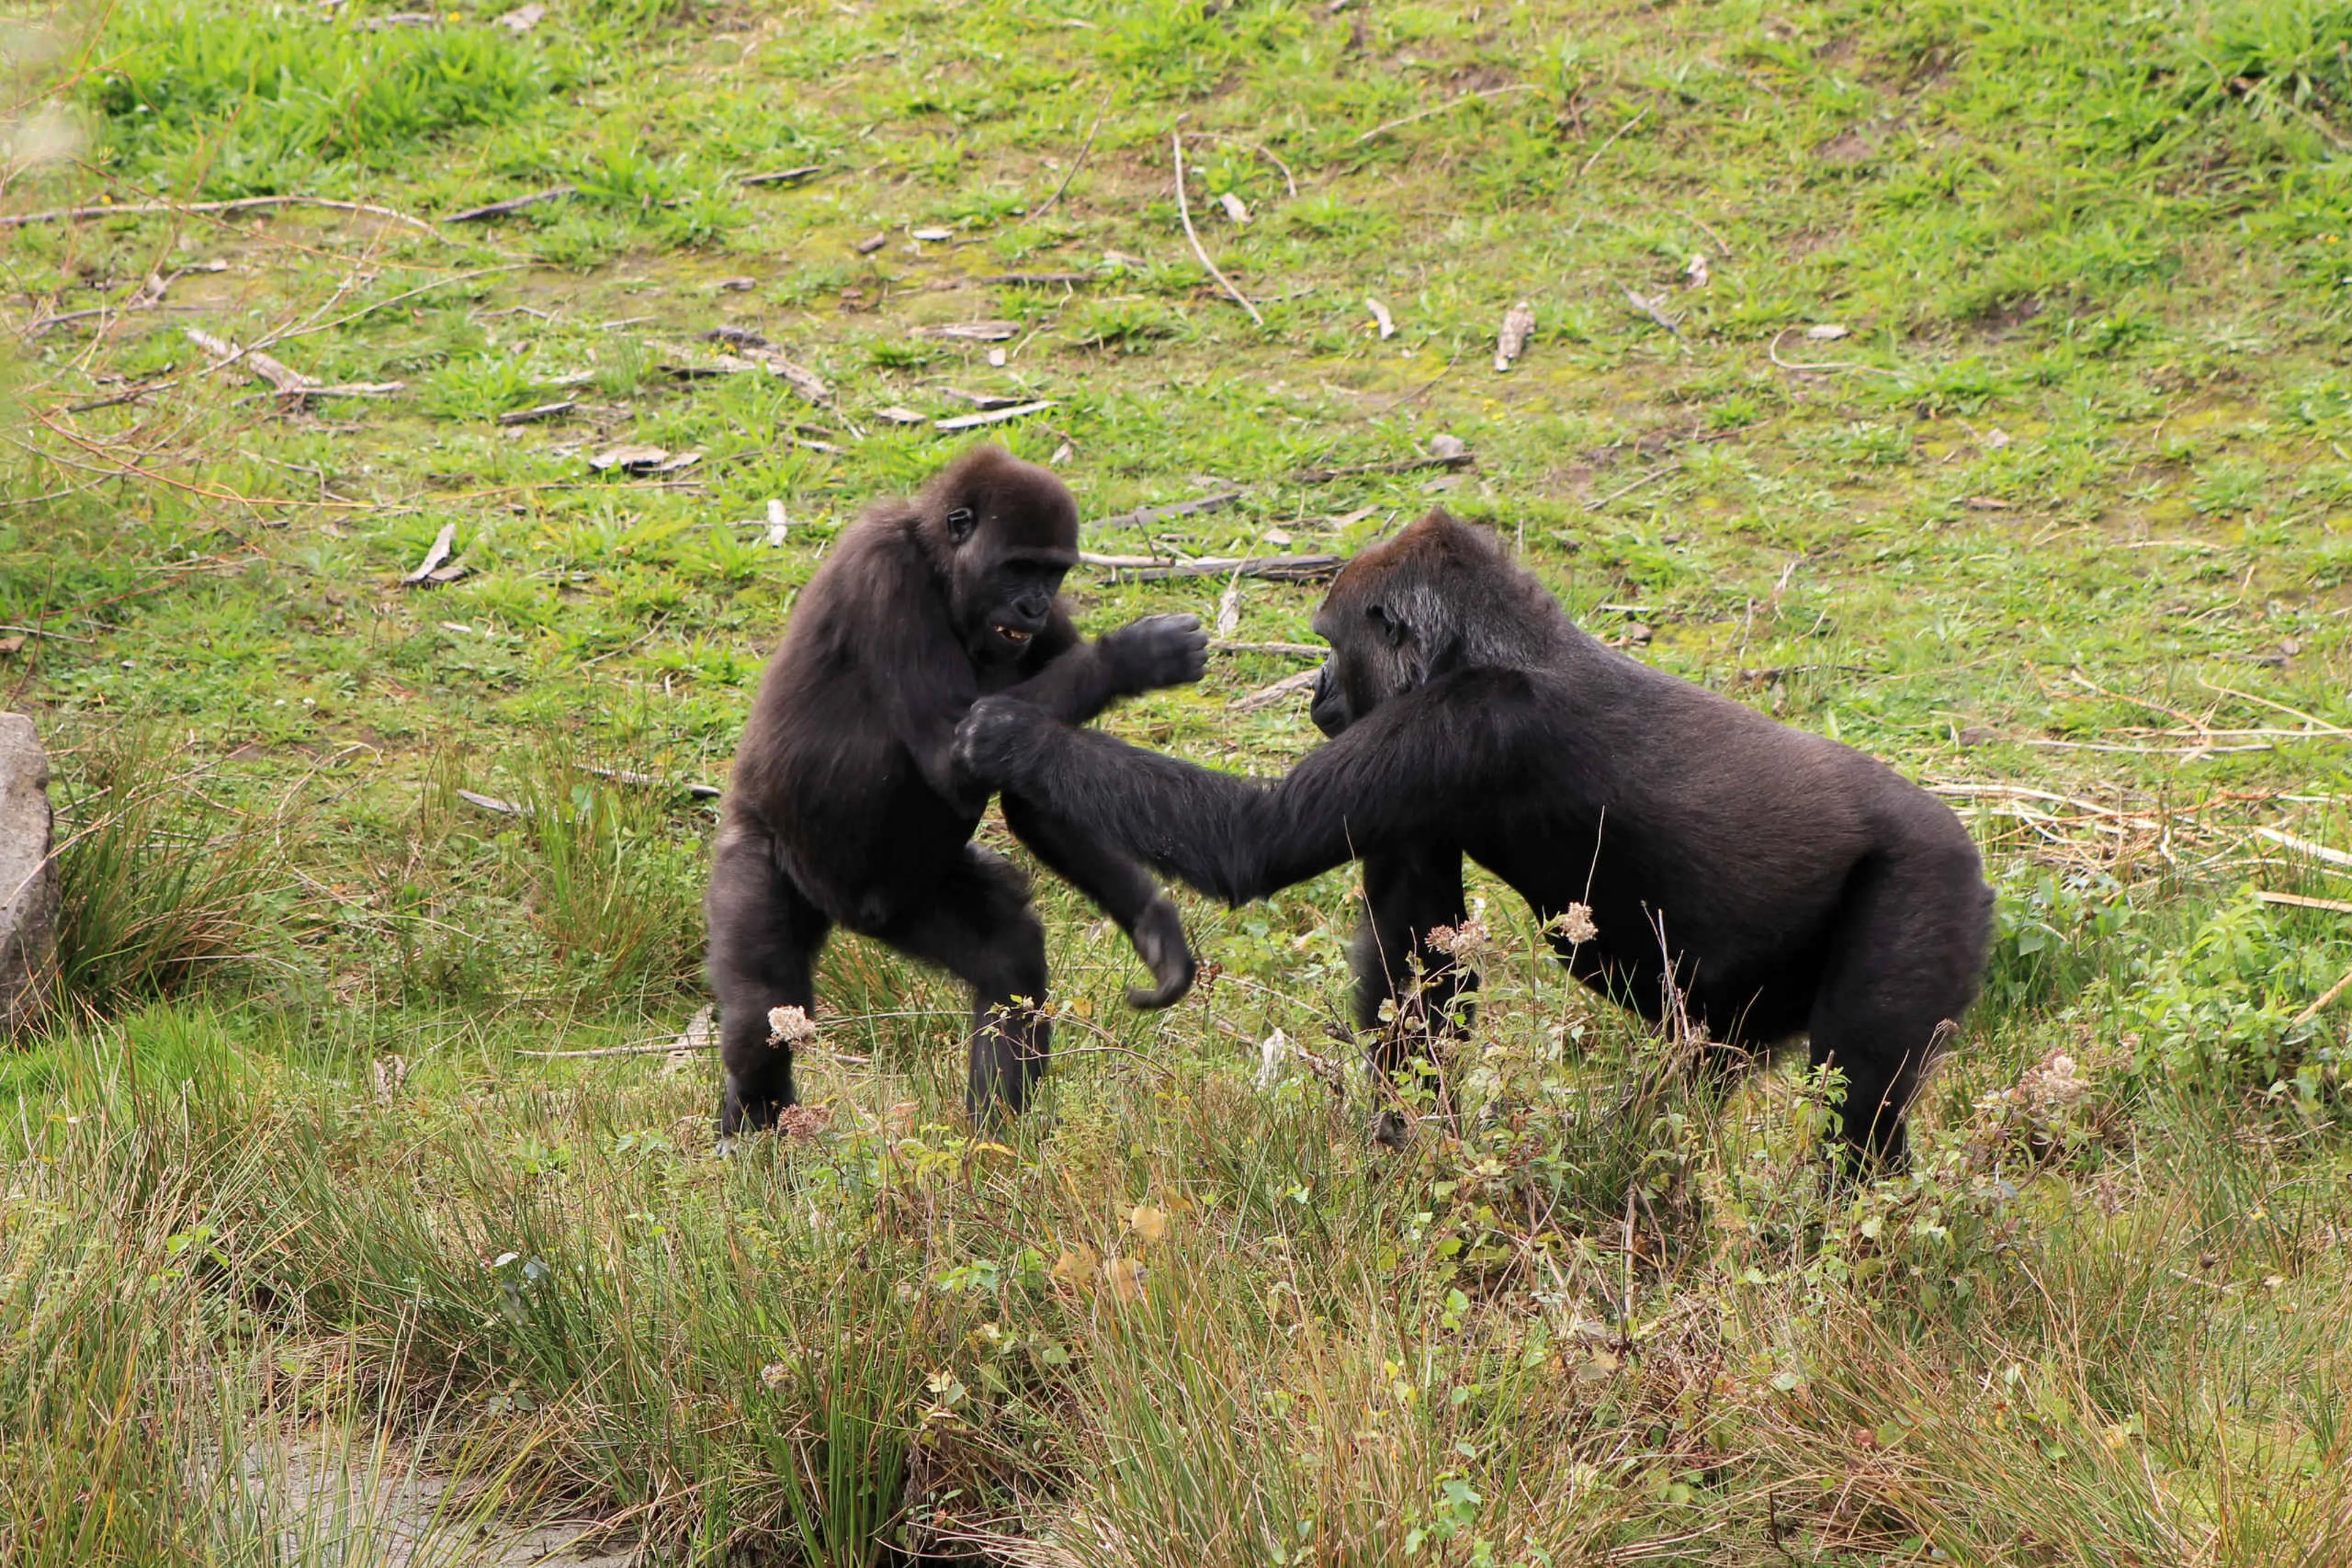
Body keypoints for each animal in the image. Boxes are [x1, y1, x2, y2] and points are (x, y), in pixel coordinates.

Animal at [705, 444, 1208, 1137]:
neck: (940, 566)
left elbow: (1034, 789)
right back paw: (752, 1130)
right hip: (759, 851)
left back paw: (994, 1141)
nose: (1031, 608)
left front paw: (1154, 926)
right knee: (762, 1014)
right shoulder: (886, 576)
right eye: (1019, 567)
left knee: (1008, 960)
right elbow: (953, 751)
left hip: (907, 903)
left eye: (1052, 574)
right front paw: (1134, 655)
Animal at [952, 507, 1992, 1167]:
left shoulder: (1456, 726)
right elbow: (1418, 975)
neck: (1488, 646)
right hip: (1748, 1012)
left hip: (1926, 880)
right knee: (1701, 1079)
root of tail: (1970, 852)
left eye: (1328, 644)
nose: (1315, 690)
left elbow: (1251, 839)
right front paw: (1403, 1156)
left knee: (1859, 1106)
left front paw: (1014, 735)